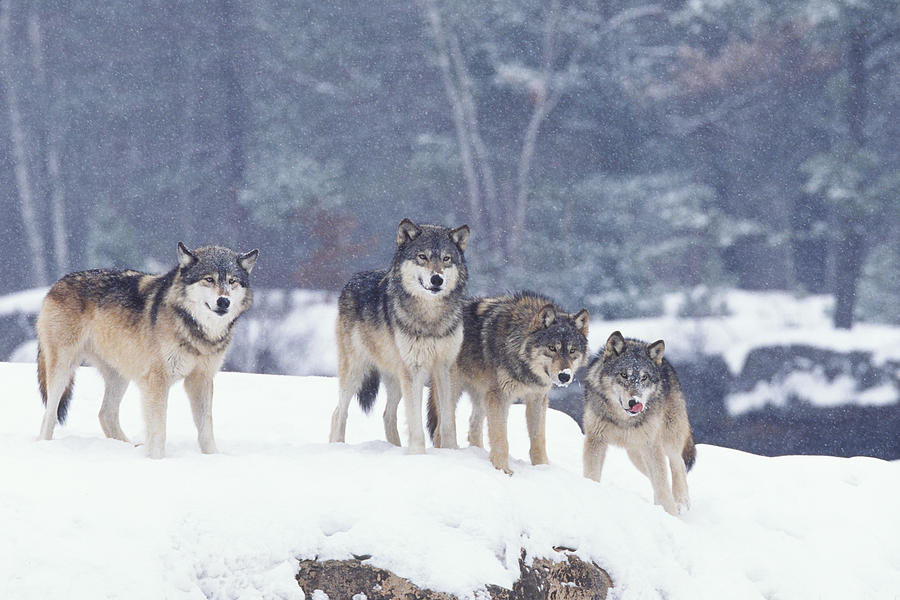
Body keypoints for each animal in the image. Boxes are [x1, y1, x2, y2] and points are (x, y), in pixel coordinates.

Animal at [36, 242, 258, 459]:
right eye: (209, 279)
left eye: (232, 281)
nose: (224, 301)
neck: (194, 329)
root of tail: (56, 284)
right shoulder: (157, 381)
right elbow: (159, 430)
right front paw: (157, 460)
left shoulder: (201, 379)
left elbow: (206, 428)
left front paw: (213, 458)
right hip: (63, 369)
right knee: (50, 414)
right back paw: (45, 446)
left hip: (120, 375)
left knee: (105, 414)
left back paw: (129, 448)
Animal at [329, 218, 469, 454]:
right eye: (422, 256)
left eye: (446, 258)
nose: (437, 279)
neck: (431, 318)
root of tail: (352, 279)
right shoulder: (414, 370)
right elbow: (415, 424)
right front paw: (418, 455)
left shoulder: (445, 368)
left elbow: (448, 422)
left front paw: (451, 452)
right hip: (356, 371)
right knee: (339, 411)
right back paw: (337, 447)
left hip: (395, 377)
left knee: (388, 414)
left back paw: (393, 448)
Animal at [428, 291, 589, 474]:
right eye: (552, 348)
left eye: (572, 350)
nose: (564, 376)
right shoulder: (499, 398)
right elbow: (501, 440)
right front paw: (503, 470)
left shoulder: (537, 399)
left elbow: (538, 440)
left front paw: (542, 468)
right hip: (453, 393)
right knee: (439, 431)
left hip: (482, 397)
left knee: (474, 427)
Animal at [582, 331, 696, 515]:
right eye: (623, 375)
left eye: (644, 378)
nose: (634, 402)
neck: (623, 419)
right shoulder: (596, 440)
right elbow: (591, 474)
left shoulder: (652, 445)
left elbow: (662, 486)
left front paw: (670, 513)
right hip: (636, 455)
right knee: (656, 475)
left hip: (666, 440)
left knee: (677, 463)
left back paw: (681, 501)